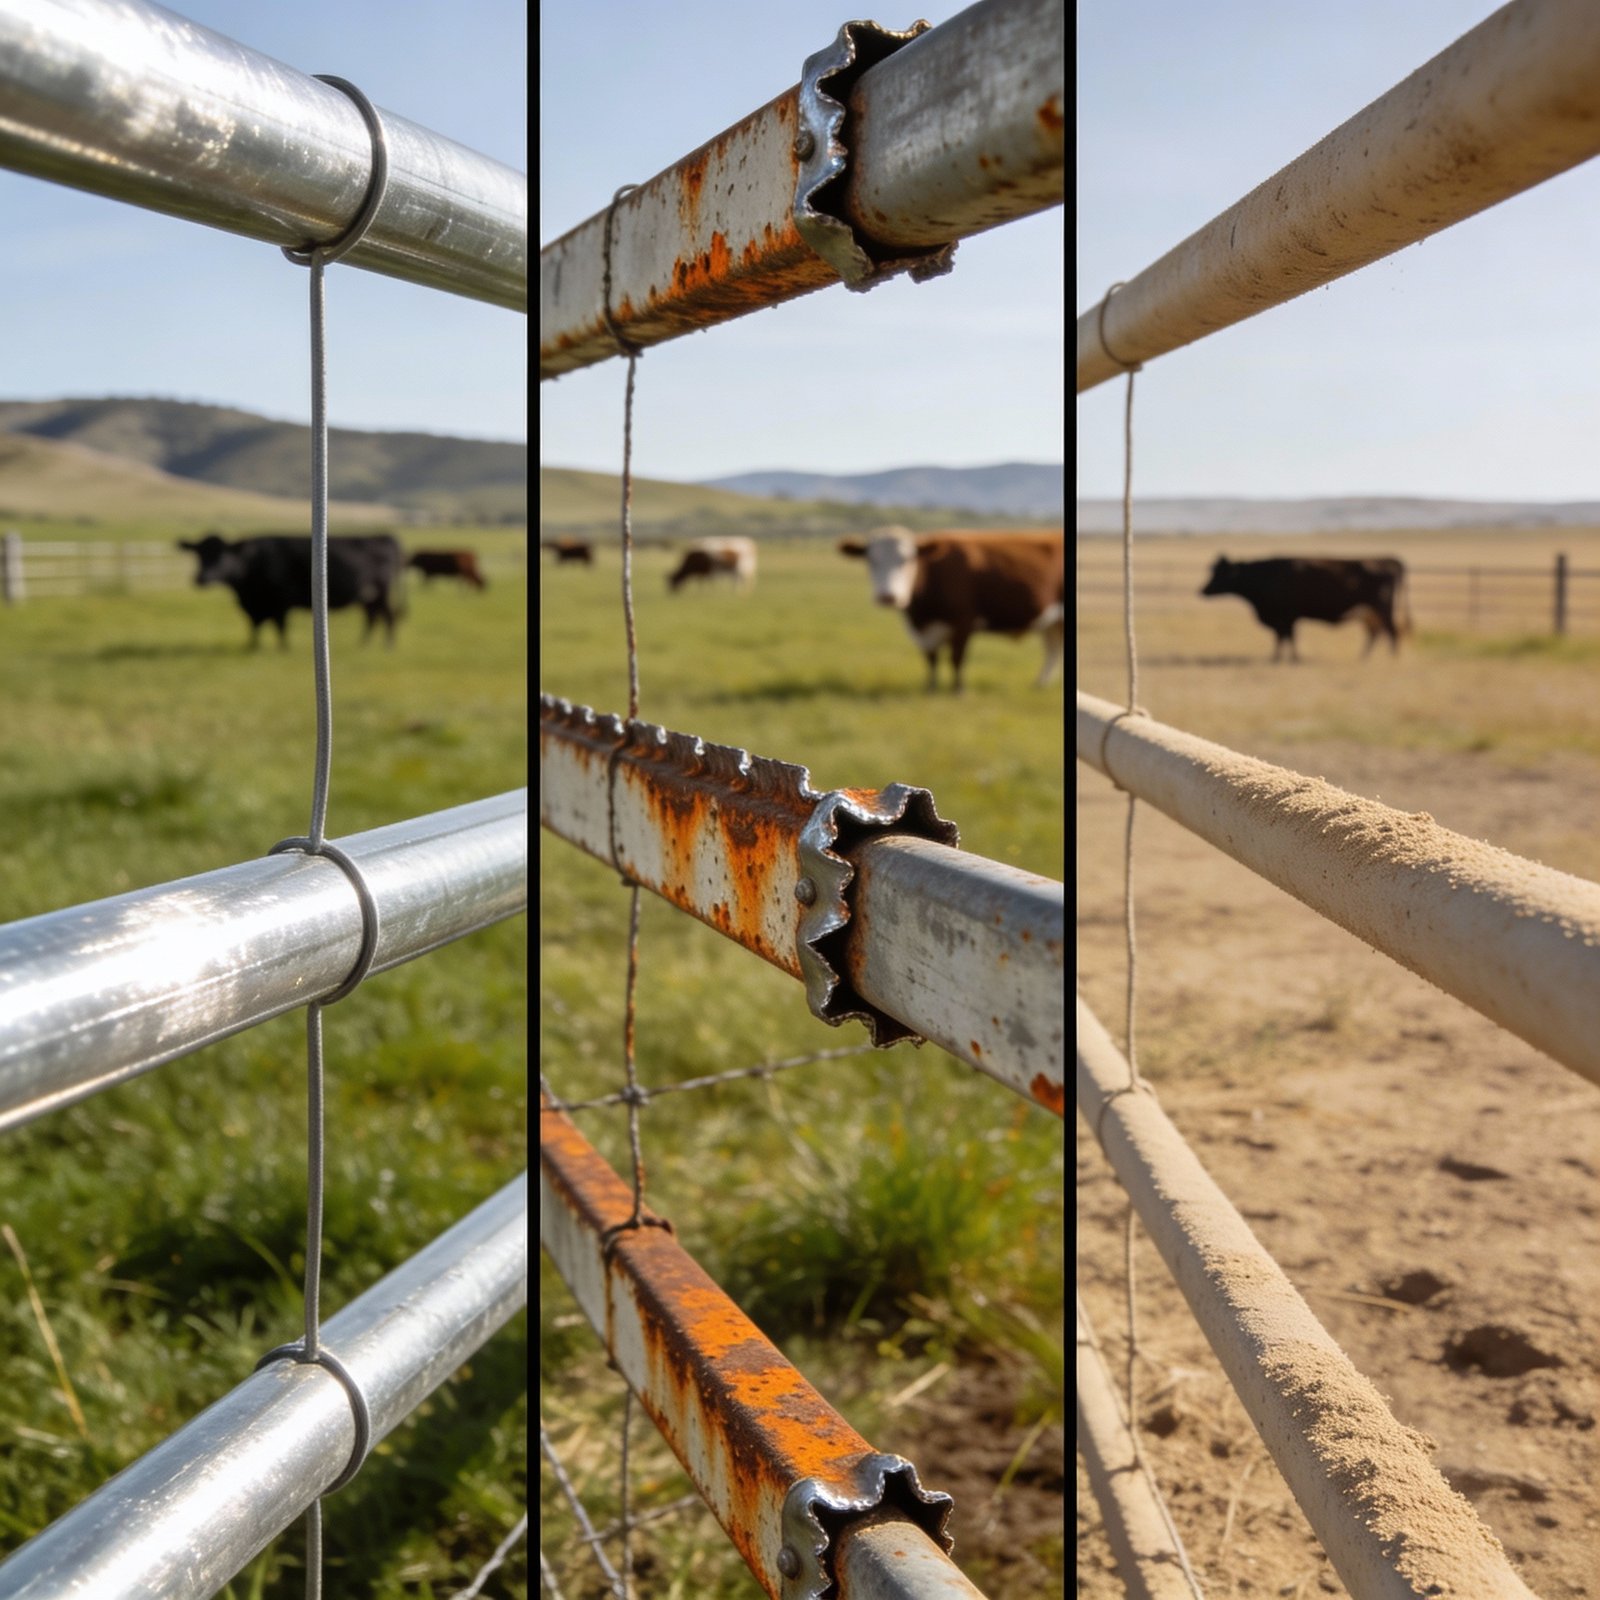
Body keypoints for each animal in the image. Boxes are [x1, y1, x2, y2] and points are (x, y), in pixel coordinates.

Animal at [176, 532, 404, 649]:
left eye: (222, 554)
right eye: (198, 553)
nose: (201, 578)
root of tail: (384, 536)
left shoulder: (281, 602)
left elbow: (280, 627)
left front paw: (283, 648)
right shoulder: (255, 605)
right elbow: (254, 627)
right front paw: (252, 646)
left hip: (381, 592)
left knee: (389, 616)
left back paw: (388, 645)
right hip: (369, 597)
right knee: (373, 617)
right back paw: (364, 644)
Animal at [838, 527, 1065, 691]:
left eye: (908, 559)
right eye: (871, 560)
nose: (888, 597)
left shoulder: (963, 622)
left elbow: (957, 658)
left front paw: (958, 691)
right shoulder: (925, 631)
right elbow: (931, 659)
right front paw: (930, 688)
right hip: (1051, 622)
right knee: (1053, 650)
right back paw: (1040, 685)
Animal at [1199, 555, 1411, 662]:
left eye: (1220, 572)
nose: (1202, 590)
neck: (1266, 575)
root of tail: (1390, 561)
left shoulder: (1286, 617)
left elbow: (1287, 638)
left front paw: (1287, 658)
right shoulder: (1285, 619)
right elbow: (1283, 638)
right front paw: (1280, 658)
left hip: (1382, 609)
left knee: (1392, 631)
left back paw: (1392, 658)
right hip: (1369, 613)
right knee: (1375, 633)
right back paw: (1363, 658)